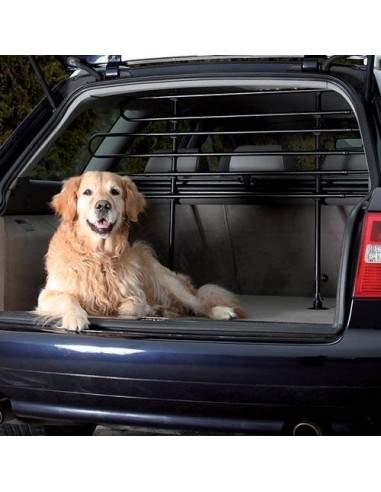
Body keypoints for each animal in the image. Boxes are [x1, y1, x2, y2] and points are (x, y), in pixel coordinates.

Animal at [35, 172, 243, 330]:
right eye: (87, 192)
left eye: (115, 192)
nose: (103, 205)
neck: (99, 255)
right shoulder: (46, 295)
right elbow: (68, 297)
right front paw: (76, 317)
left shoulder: (136, 294)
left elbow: (129, 306)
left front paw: (145, 309)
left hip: (167, 279)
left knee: (198, 303)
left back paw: (219, 311)